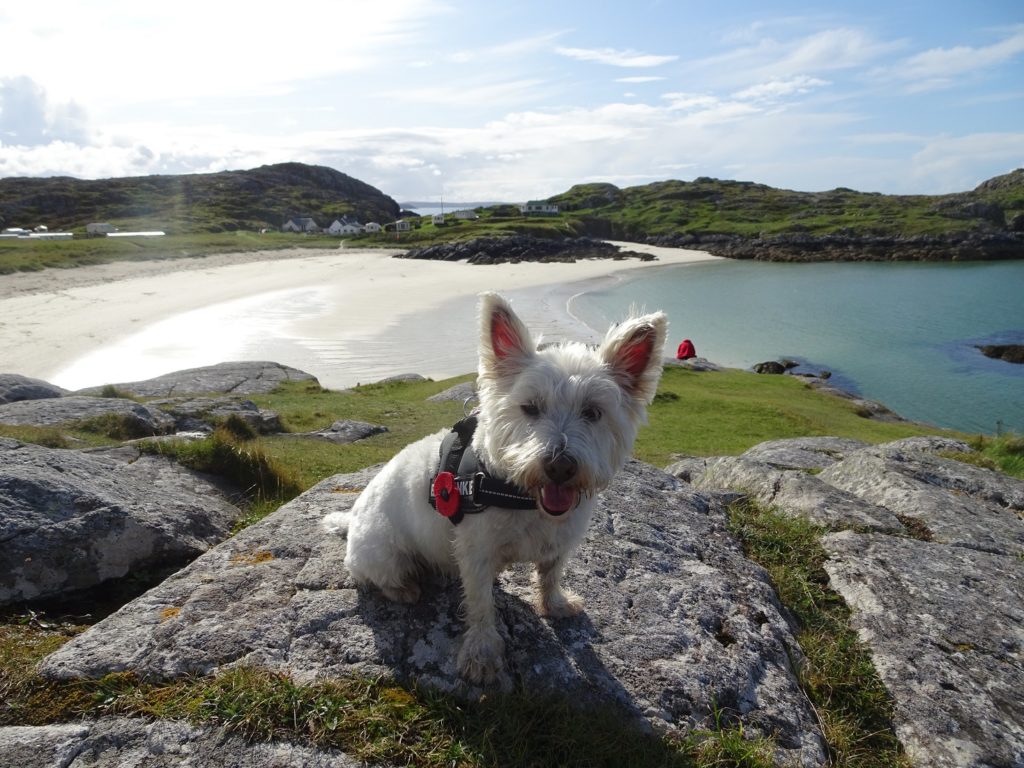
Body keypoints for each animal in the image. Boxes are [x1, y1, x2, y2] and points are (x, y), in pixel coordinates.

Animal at [323, 294, 667, 684]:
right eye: (529, 407)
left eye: (593, 412)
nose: (560, 466)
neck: (522, 495)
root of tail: (352, 519)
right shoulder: (476, 552)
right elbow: (481, 604)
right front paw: (483, 655)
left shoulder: (560, 541)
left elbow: (550, 574)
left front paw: (556, 604)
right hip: (384, 554)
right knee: (376, 576)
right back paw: (404, 589)